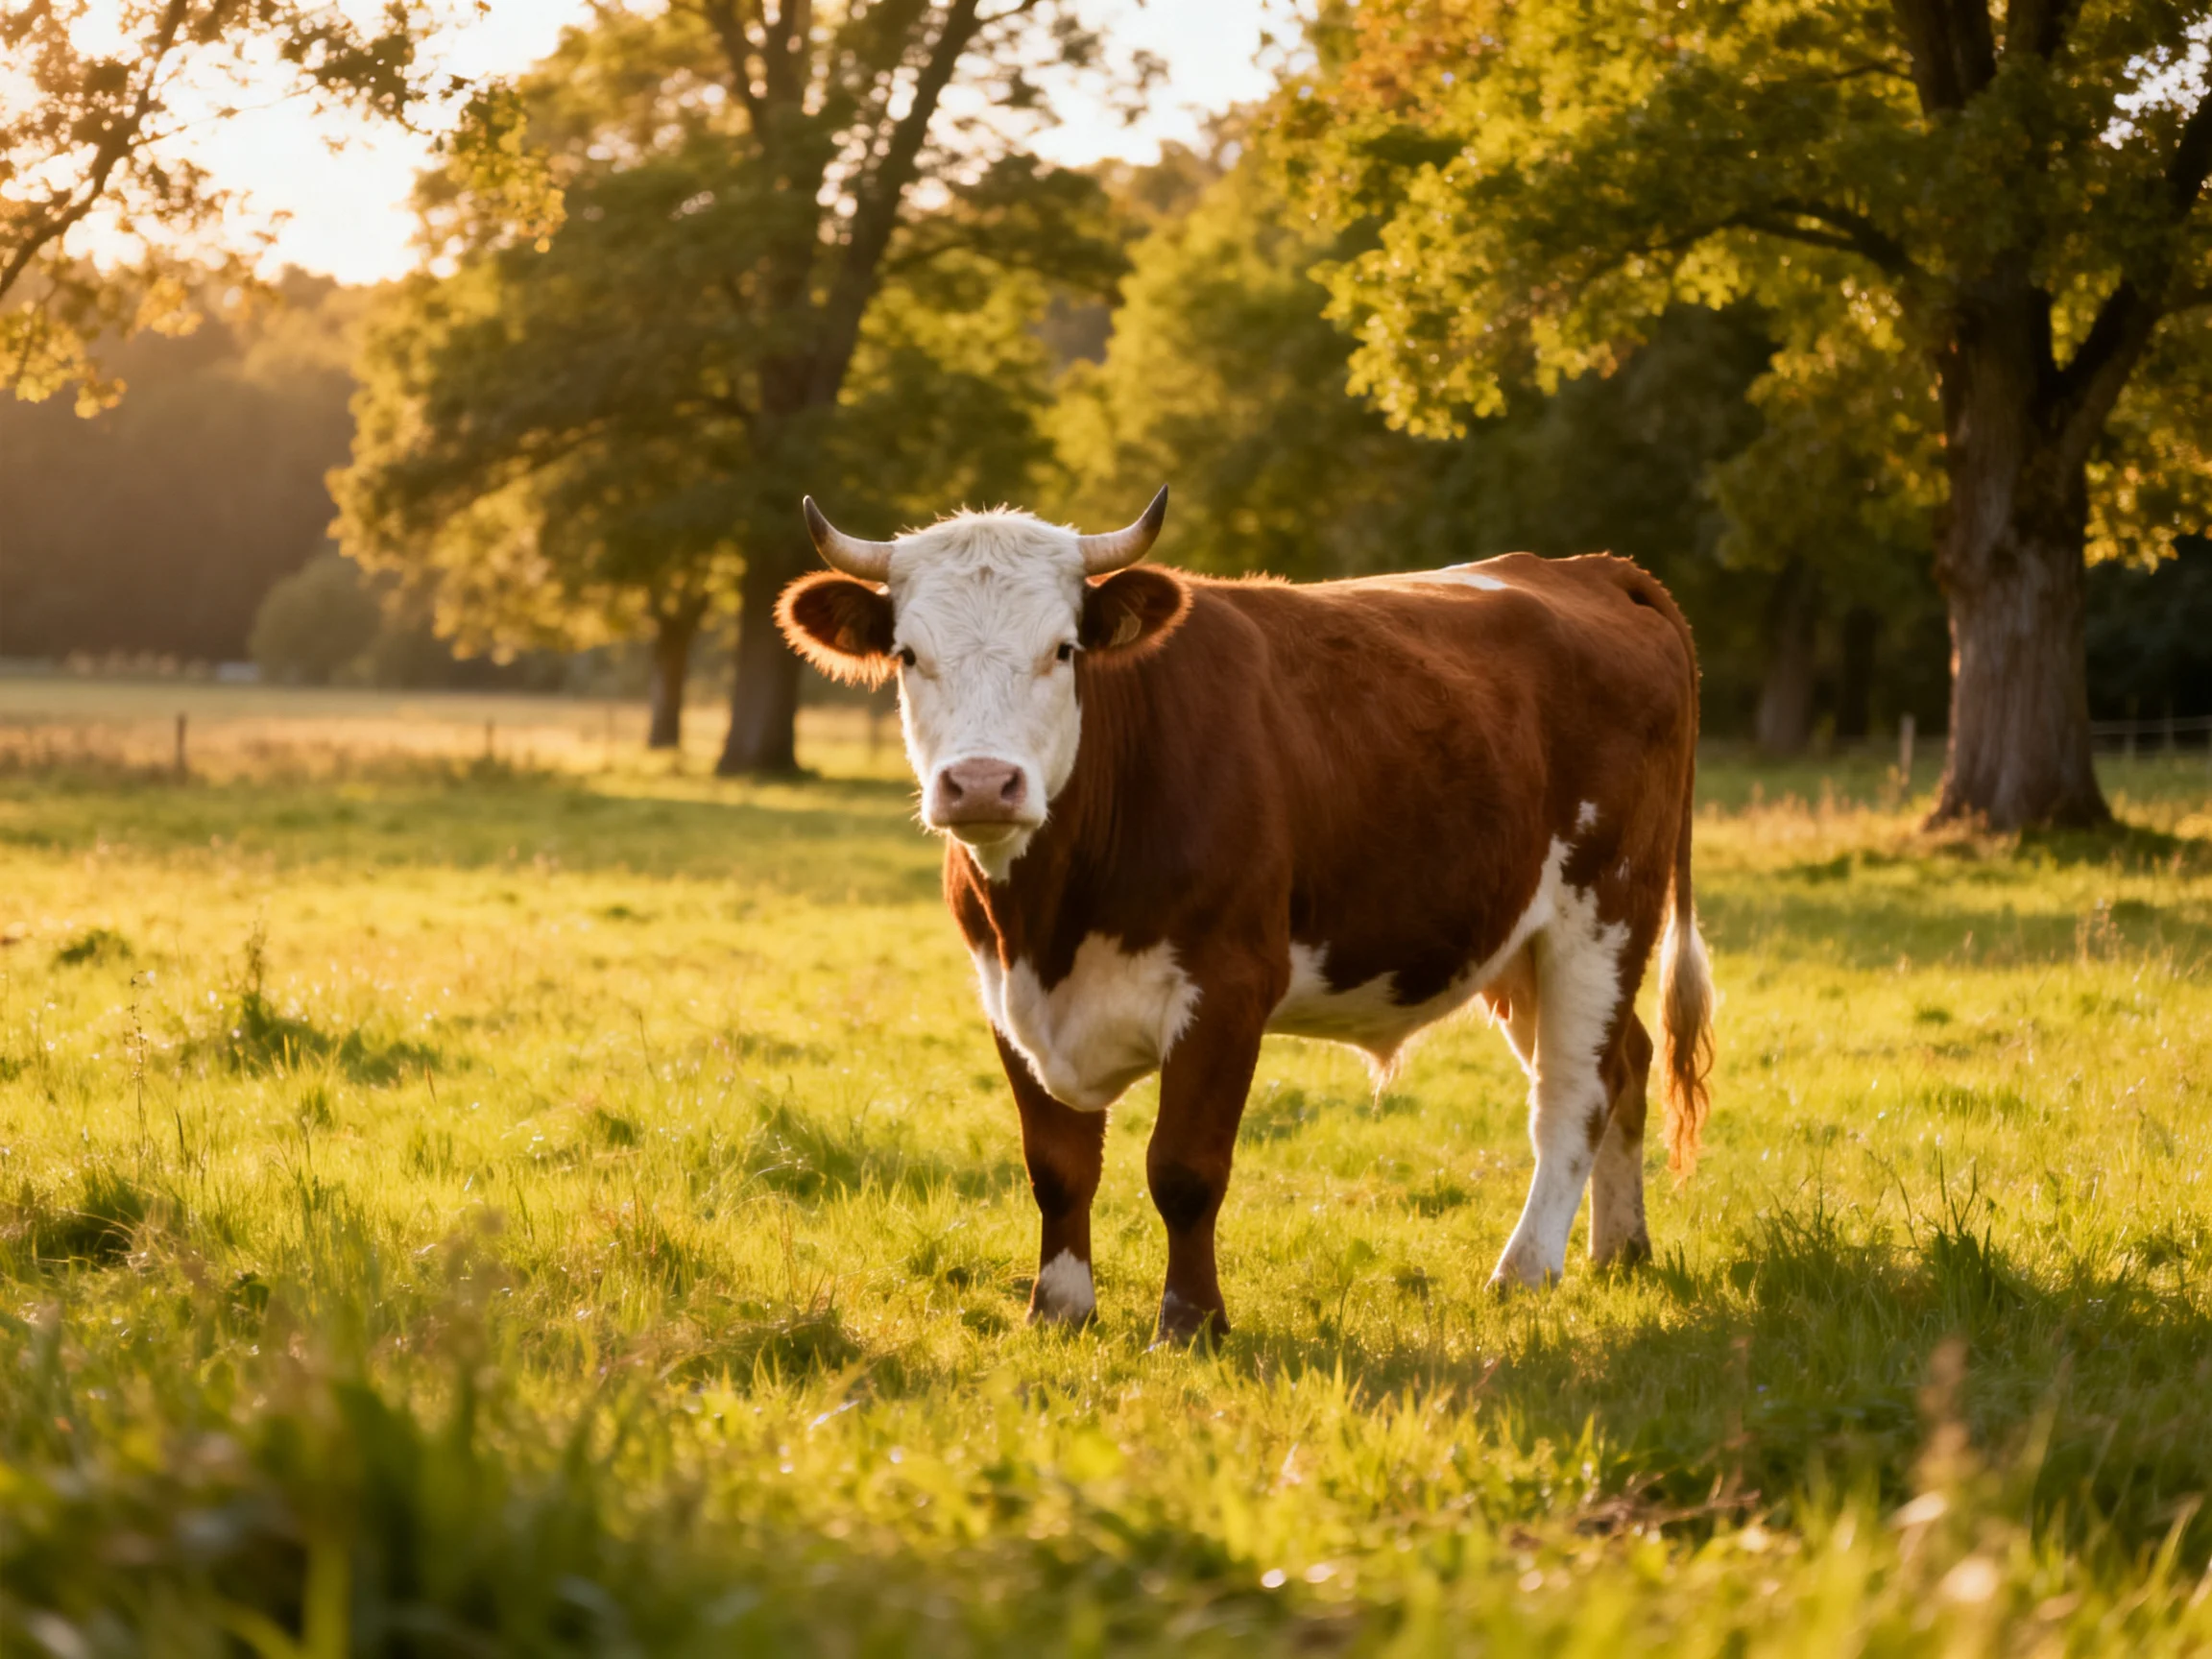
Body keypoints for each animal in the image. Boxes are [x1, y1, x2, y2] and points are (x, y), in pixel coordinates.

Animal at [776, 488, 1714, 1343]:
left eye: (1064, 649)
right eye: (907, 654)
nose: (979, 784)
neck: (1052, 921)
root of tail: (1589, 569)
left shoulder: (1227, 988)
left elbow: (1184, 1169)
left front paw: (1192, 1323)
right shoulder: (1006, 994)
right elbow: (1059, 1165)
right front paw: (1059, 1311)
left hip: (1603, 911)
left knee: (1576, 1091)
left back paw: (1526, 1270)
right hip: (1519, 943)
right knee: (1626, 1062)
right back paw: (1619, 1251)